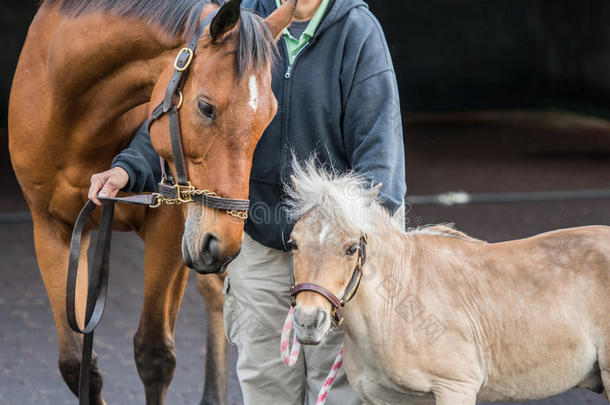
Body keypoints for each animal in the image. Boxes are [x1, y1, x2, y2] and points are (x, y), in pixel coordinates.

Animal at [8, 0, 294, 404]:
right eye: (205, 107)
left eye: (268, 116)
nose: (220, 243)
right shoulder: (52, 229)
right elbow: (76, 363)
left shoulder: (170, 228)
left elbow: (154, 355)